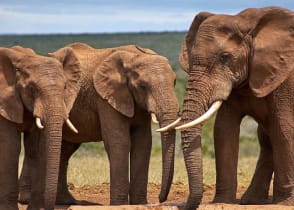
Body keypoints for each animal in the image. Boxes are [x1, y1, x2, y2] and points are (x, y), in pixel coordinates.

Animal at [19, 42, 179, 205]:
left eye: (174, 82)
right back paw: (27, 200)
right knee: (38, 145)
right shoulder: (105, 98)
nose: (160, 199)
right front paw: (120, 205)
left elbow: (143, 144)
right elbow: (119, 142)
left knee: (65, 149)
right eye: (142, 86)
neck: (134, 57)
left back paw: (66, 201)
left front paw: (139, 204)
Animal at [160, 6, 294, 210]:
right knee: (266, 139)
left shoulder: (285, 79)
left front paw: (285, 203)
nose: (174, 204)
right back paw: (251, 201)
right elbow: (224, 129)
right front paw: (222, 201)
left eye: (225, 58)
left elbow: (283, 129)